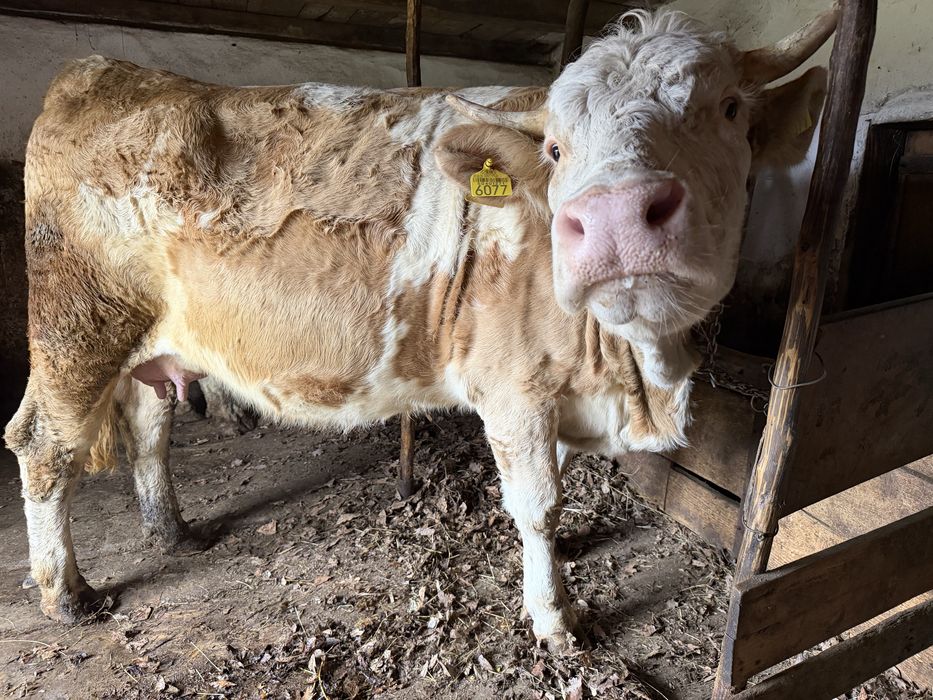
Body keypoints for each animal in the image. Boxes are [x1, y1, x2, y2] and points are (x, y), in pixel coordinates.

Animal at [5, 7, 837, 649]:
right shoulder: (513, 391)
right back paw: (67, 593)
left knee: (150, 423)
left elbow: (559, 488)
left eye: (728, 109)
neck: (630, 374)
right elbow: (537, 504)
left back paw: (171, 530)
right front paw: (555, 617)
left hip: (151, 337)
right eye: (554, 147)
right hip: (79, 330)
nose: (614, 217)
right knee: (43, 445)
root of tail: (111, 71)